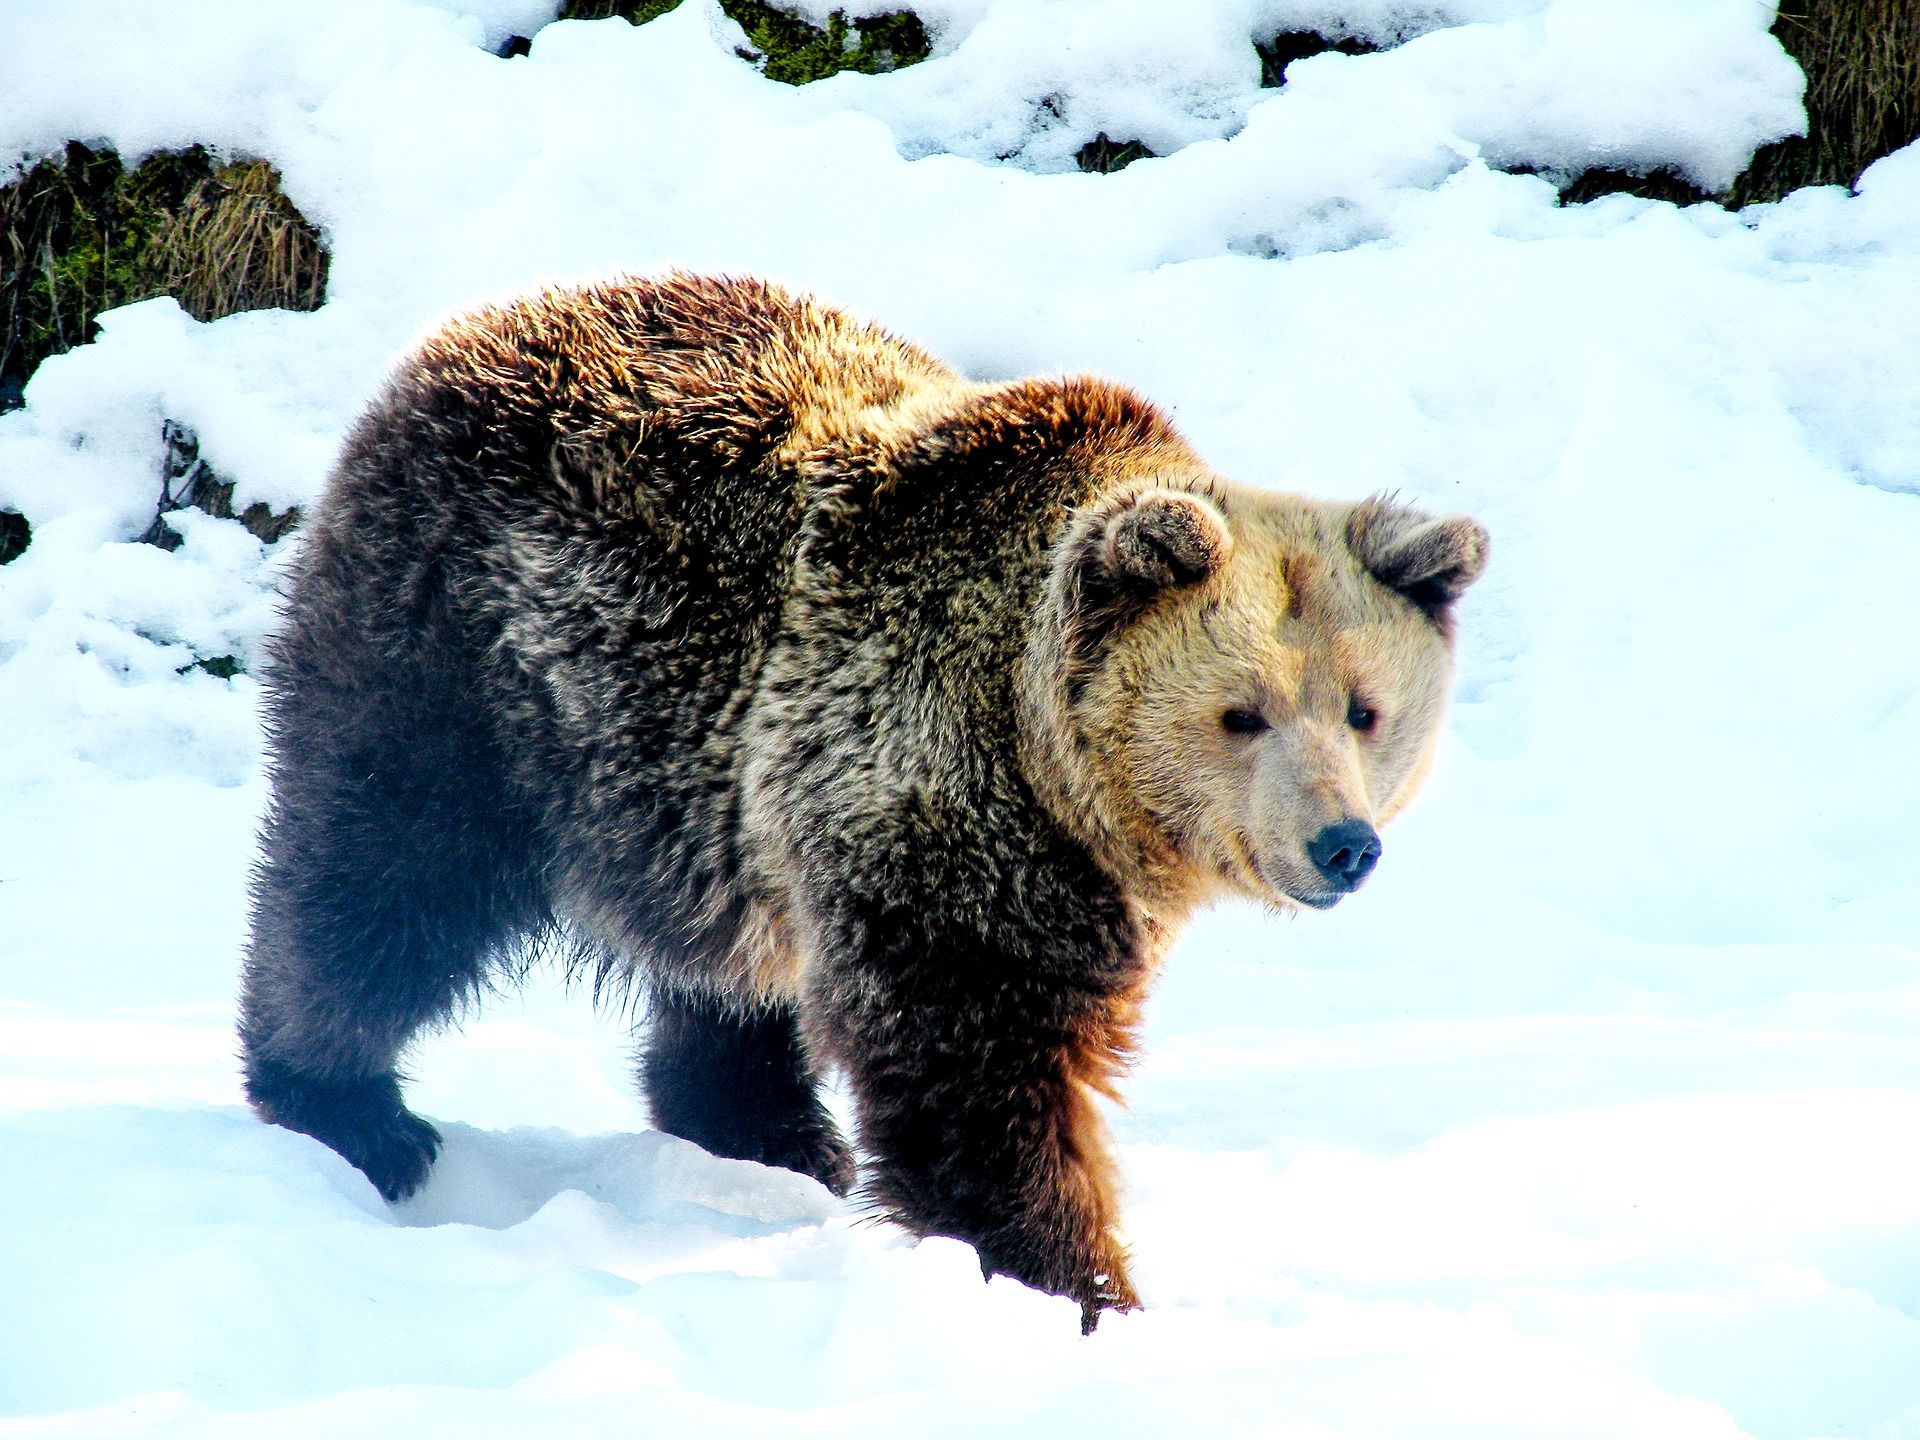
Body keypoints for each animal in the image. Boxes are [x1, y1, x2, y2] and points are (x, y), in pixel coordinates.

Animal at [240, 270, 1489, 1328]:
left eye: (1366, 709)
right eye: (1242, 713)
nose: (1340, 844)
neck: (1059, 776)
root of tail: (467, 329)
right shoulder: (941, 803)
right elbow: (976, 1066)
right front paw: (1077, 1284)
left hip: (687, 781)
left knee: (727, 973)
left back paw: (772, 1133)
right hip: (471, 665)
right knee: (382, 878)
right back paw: (349, 1109)